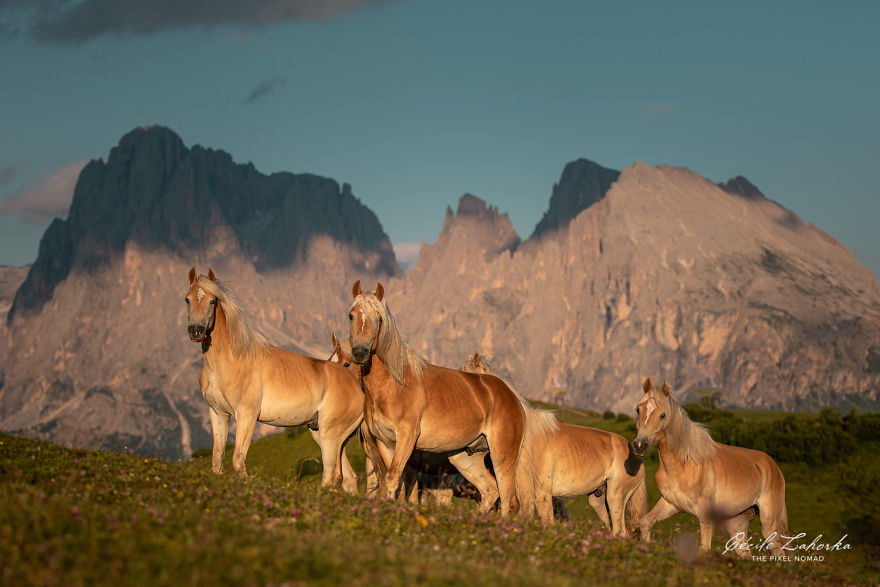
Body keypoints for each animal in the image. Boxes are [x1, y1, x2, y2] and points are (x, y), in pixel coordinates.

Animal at [184, 267, 363, 492]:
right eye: (187, 299)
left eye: (212, 301)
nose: (196, 331)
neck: (232, 360)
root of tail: (358, 390)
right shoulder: (219, 414)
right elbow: (217, 460)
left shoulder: (246, 415)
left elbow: (238, 460)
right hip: (326, 435)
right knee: (348, 477)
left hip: (331, 436)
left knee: (332, 474)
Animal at [346, 281, 543, 516]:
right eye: (351, 315)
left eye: (379, 318)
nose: (360, 353)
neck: (396, 385)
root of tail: (513, 398)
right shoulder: (385, 442)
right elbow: (392, 482)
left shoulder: (407, 438)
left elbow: (393, 479)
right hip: (466, 456)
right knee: (490, 490)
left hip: (502, 456)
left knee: (508, 500)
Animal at [461, 352, 646, 535]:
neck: (526, 435)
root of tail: (635, 453)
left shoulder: (542, 494)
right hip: (599, 500)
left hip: (616, 497)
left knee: (620, 532)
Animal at [634, 378, 789, 557]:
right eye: (638, 409)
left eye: (662, 415)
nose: (640, 445)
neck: (684, 465)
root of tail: (774, 467)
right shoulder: (671, 504)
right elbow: (645, 522)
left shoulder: (705, 516)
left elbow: (704, 548)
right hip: (737, 523)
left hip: (768, 522)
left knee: (778, 552)